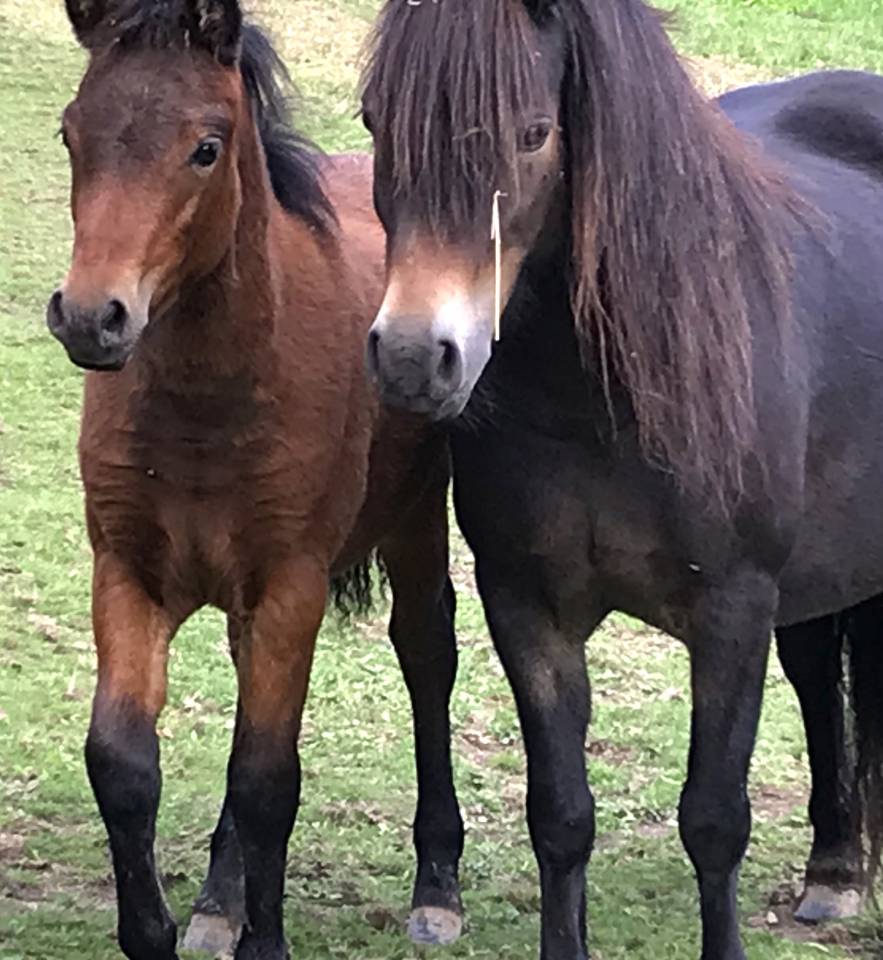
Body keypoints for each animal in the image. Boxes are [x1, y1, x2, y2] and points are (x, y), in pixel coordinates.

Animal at [46, 0, 467, 957]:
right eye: (70, 132)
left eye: (206, 147)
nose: (92, 317)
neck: (210, 401)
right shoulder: (127, 572)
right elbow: (122, 761)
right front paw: (159, 929)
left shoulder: (290, 584)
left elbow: (268, 776)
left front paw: (264, 940)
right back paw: (217, 898)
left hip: (415, 519)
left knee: (427, 653)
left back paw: (436, 884)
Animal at [360, 0, 883, 956]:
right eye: (376, 121)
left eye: (534, 133)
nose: (415, 358)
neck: (602, 400)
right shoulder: (528, 608)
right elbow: (561, 816)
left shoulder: (730, 613)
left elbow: (713, 820)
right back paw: (832, 872)